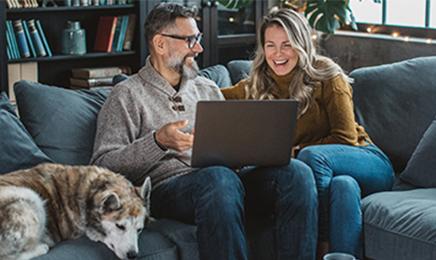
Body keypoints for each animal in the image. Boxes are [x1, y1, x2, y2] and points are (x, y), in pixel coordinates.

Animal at [0, 164, 152, 260]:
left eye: (139, 229)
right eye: (120, 226)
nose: (133, 255)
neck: (91, 192)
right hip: (30, 197)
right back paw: (42, 246)